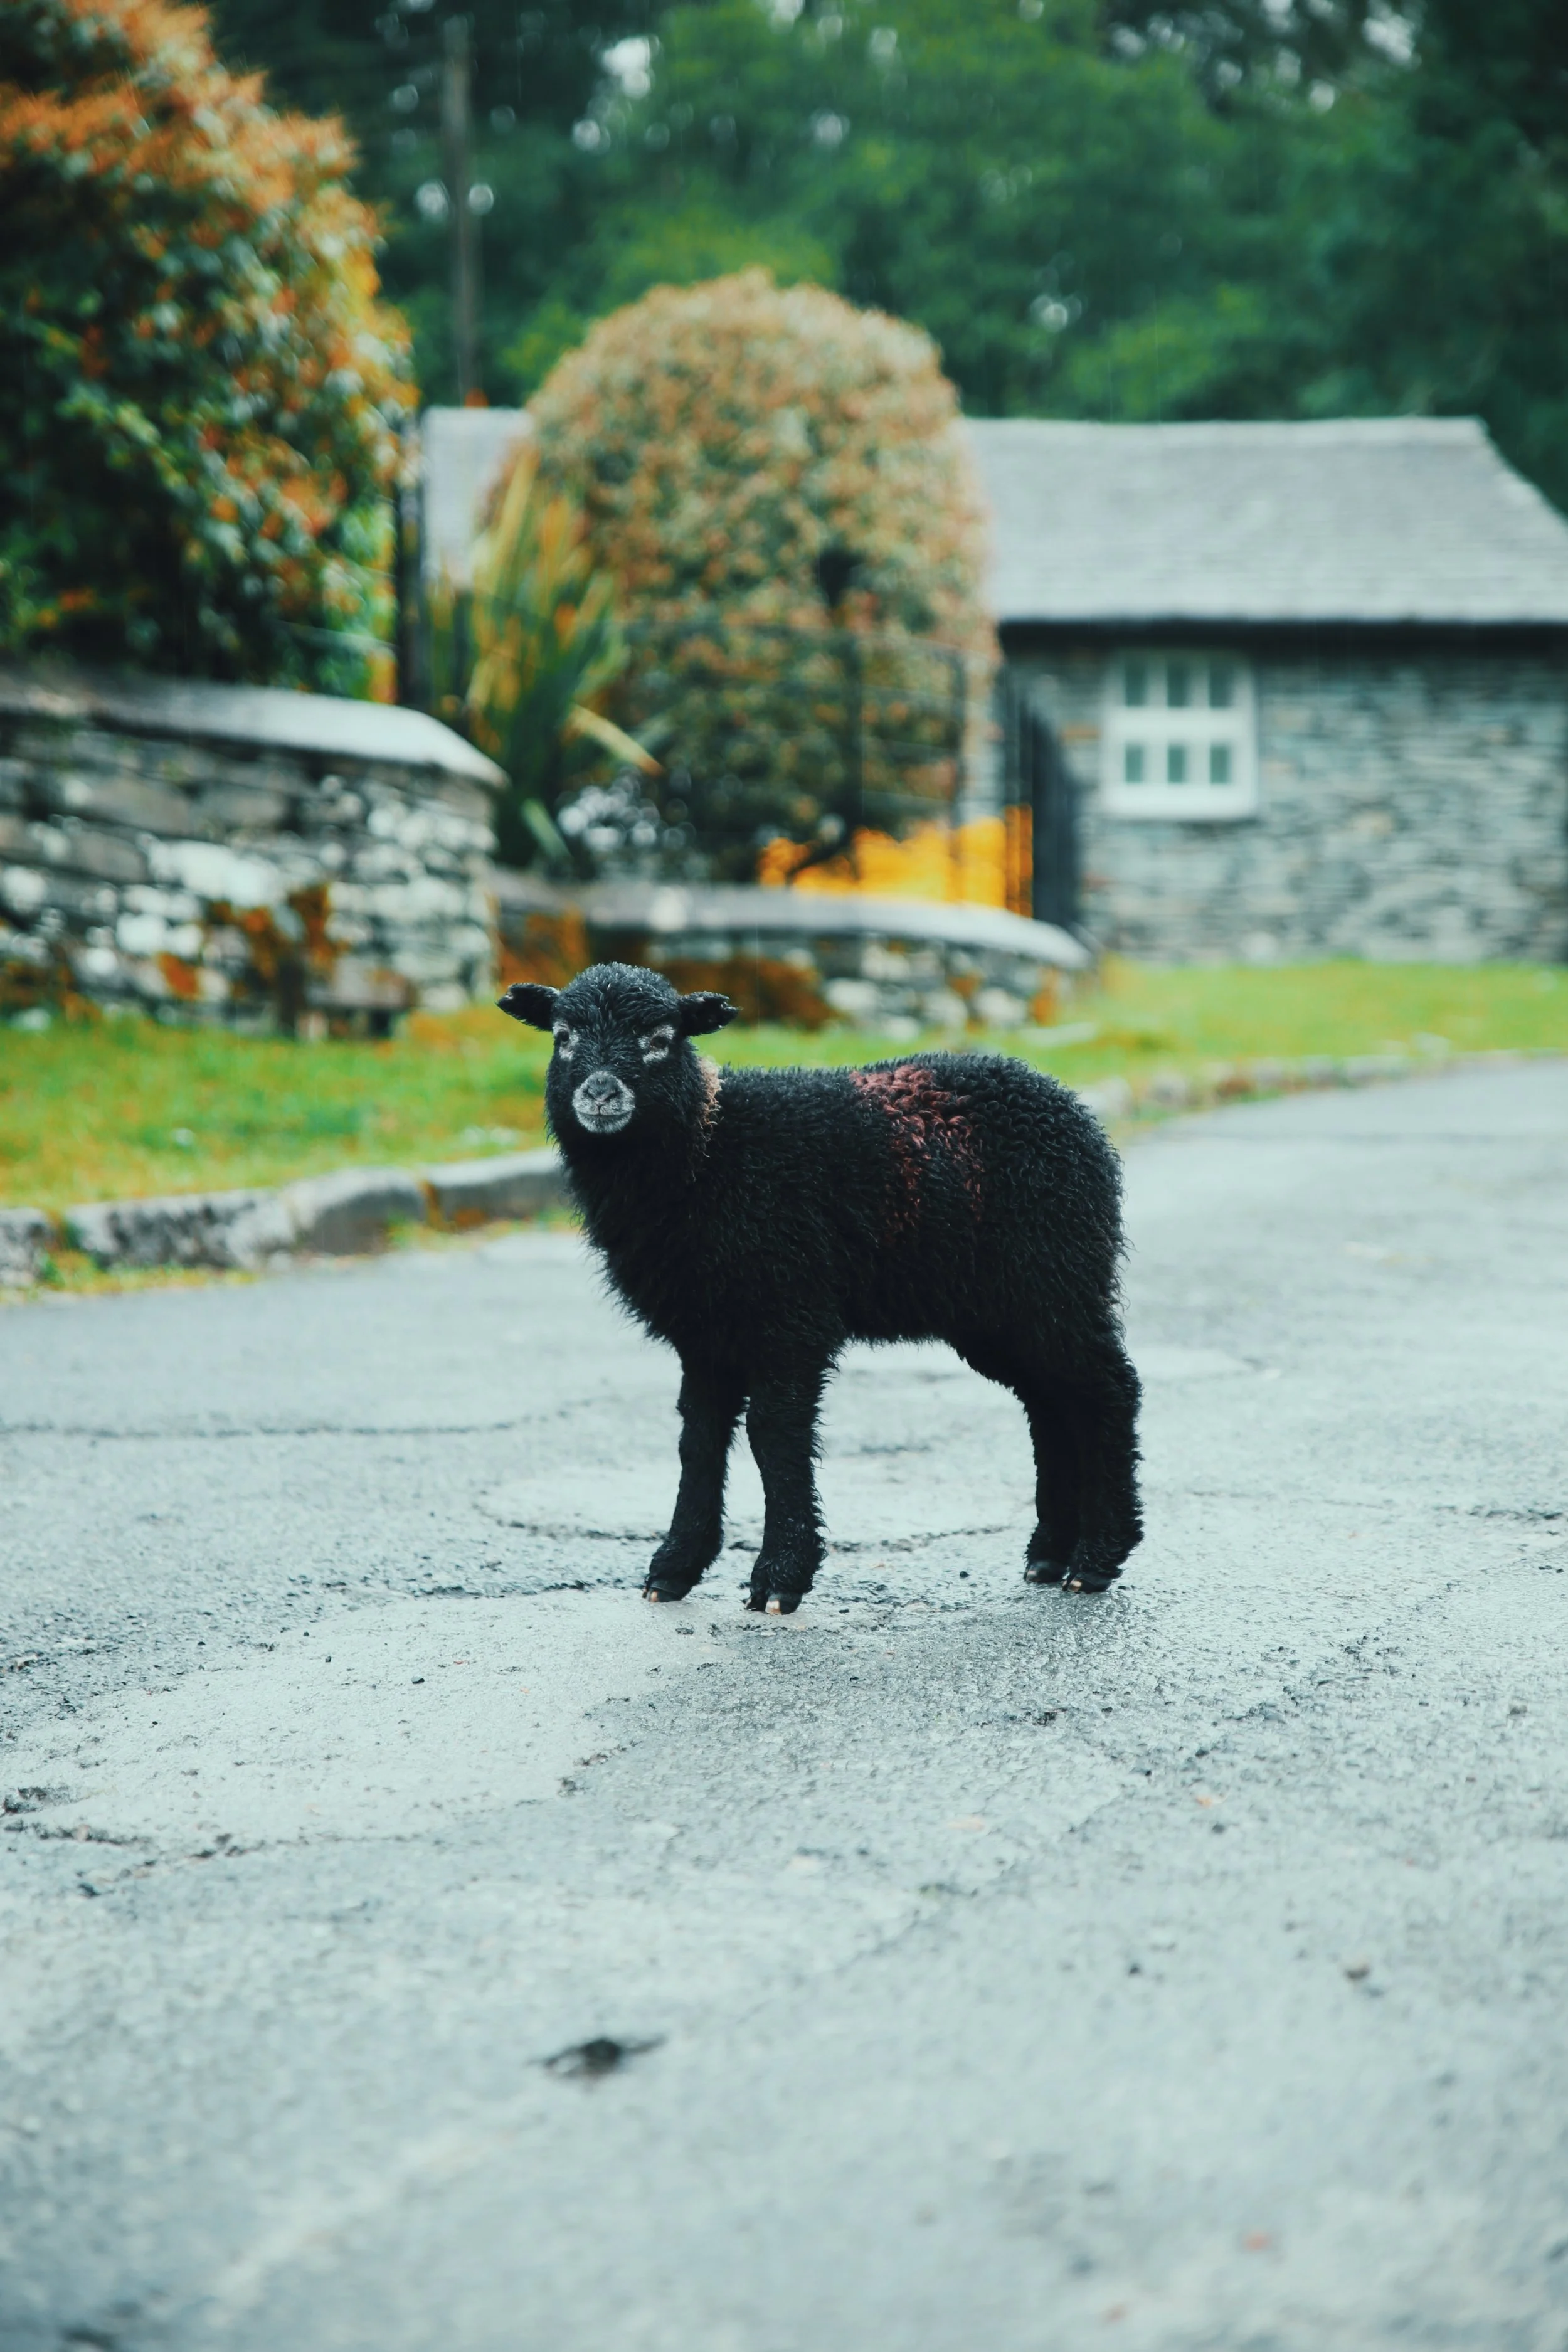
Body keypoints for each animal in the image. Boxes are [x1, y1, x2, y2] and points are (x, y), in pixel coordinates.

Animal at [500, 960, 1142, 1615]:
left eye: (661, 1038)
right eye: (563, 1037)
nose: (601, 1093)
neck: (710, 1152)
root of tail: (1068, 1105)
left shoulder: (790, 1313)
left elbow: (774, 1435)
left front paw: (781, 1576)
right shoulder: (703, 1331)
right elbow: (698, 1440)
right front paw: (675, 1568)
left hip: (1055, 1277)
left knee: (1107, 1390)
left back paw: (1097, 1559)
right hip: (999, 1311)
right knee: (1050, 1404)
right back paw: (1049, 1555)